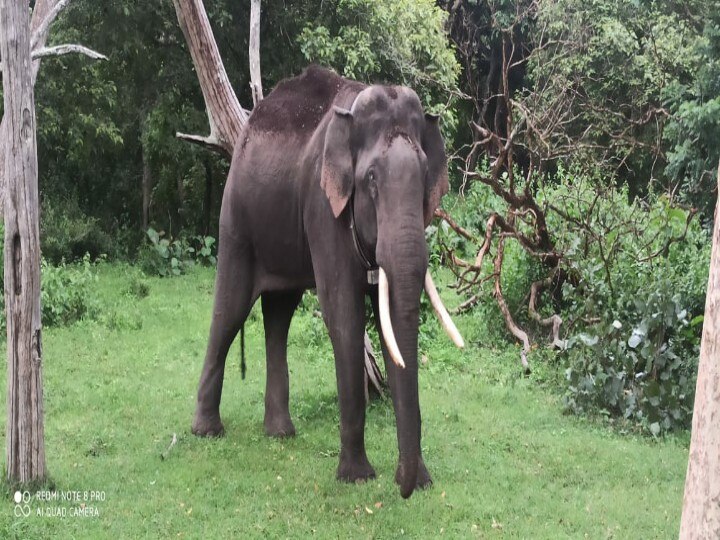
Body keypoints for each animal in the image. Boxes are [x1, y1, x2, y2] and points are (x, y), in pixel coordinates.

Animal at [190, 64, 462, 498]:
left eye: (424, 177)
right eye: (371, 179)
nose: (405, 485)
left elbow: (385, 324)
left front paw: (419, 481)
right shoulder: (323, 207)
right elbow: (344, 317)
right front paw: (357, 477)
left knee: (279, 314)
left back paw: (280, 434)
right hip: (236, 218)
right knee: (229, 310)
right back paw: (206, 432)